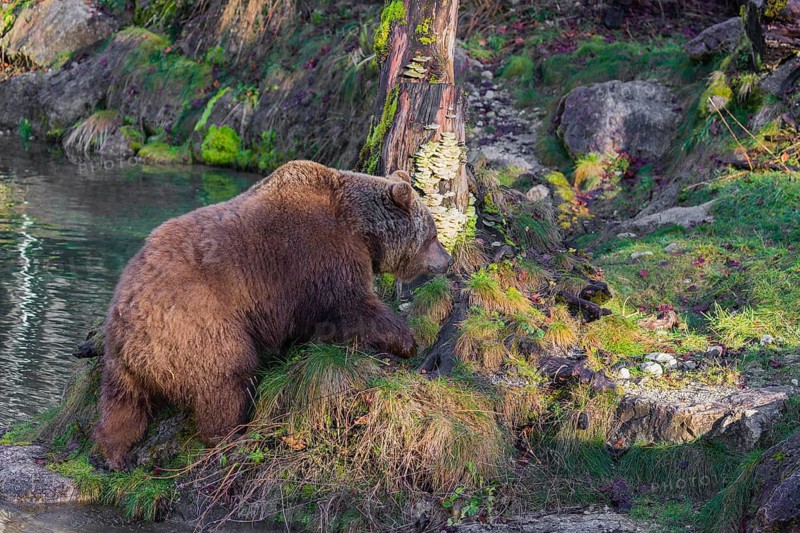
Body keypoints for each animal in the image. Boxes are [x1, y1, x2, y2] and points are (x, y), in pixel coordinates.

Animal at [93, 160, 452, 470]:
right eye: (433, 234)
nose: (447, 260)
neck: (361, 227)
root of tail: (130, 333)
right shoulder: (321, 254)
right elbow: (353, 306)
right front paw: (406, 340)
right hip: (196, 325)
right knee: (226, 377)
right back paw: (230, 435)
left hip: (123, 359)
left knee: (122, 406)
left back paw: (115, 453)